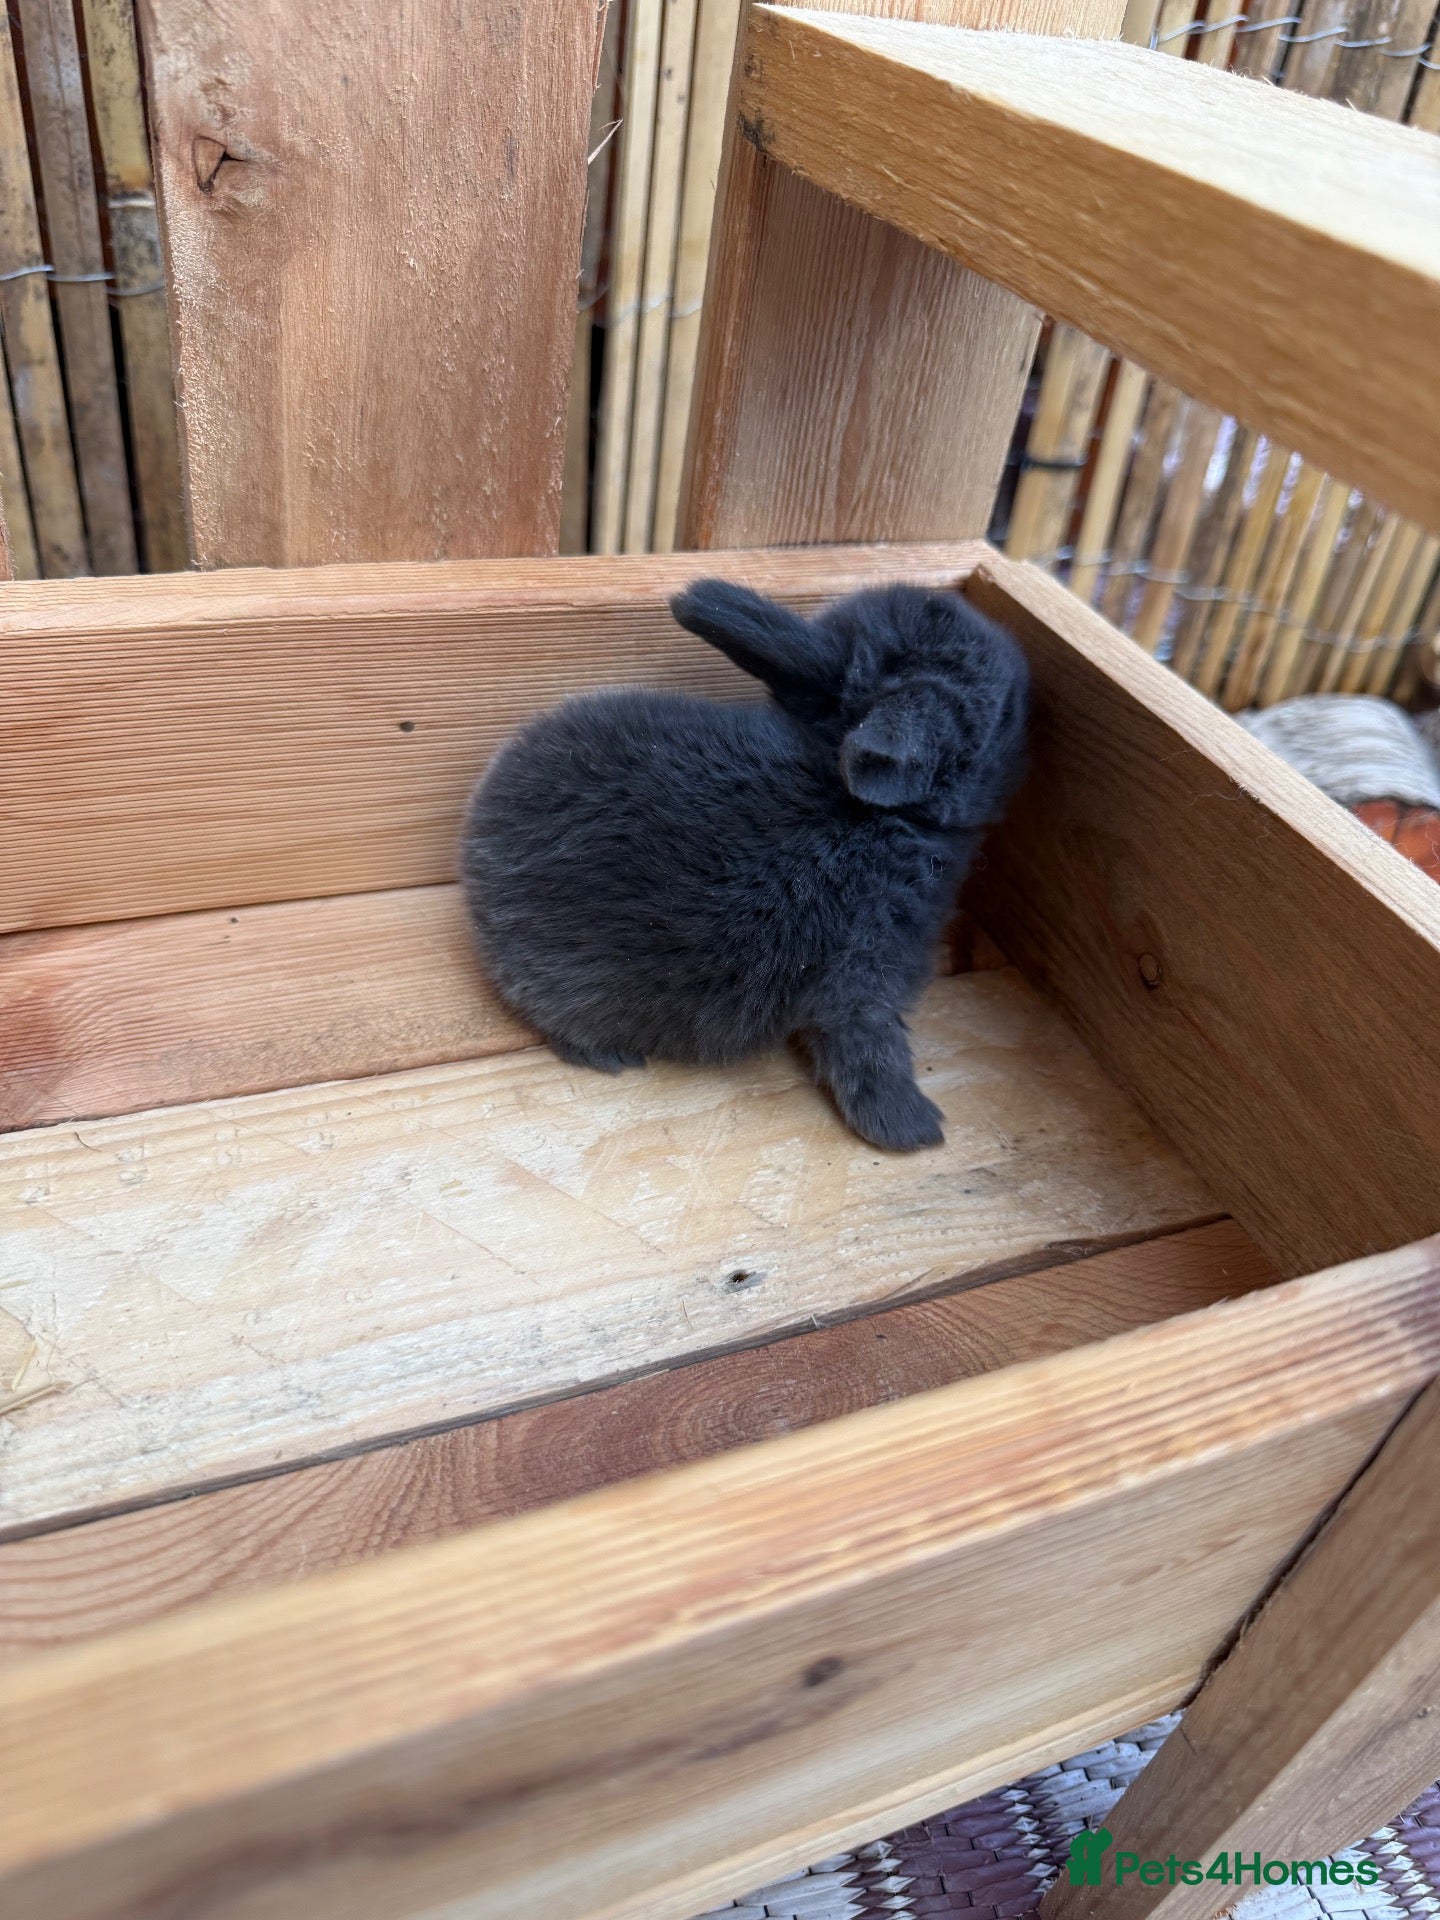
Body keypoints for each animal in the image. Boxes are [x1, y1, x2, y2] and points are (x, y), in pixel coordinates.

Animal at [461, 580, 1029, 1151]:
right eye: (1000, 713)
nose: (1027, 679)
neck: (876, 813)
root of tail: (474, 852)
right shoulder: (864, 969)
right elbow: (871, 1047)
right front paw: (913, 1129)